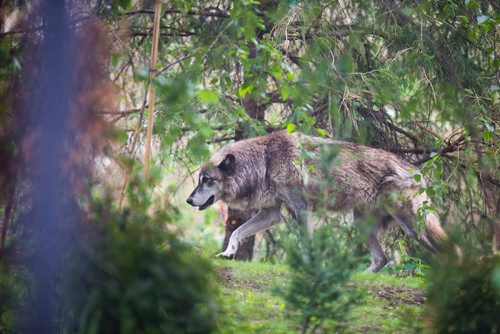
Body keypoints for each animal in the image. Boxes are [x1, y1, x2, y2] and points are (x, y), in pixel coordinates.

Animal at [187, 130, 446, 272]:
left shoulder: (301, 210)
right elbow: (236, 232)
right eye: (199, 179)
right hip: (362, 225)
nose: (189, 200)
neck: (266, 160)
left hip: (413, 228)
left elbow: (305, 243)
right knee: (381, 259)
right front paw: (228, 252)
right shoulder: (272, 213)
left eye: (206, 180)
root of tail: (417, 171)